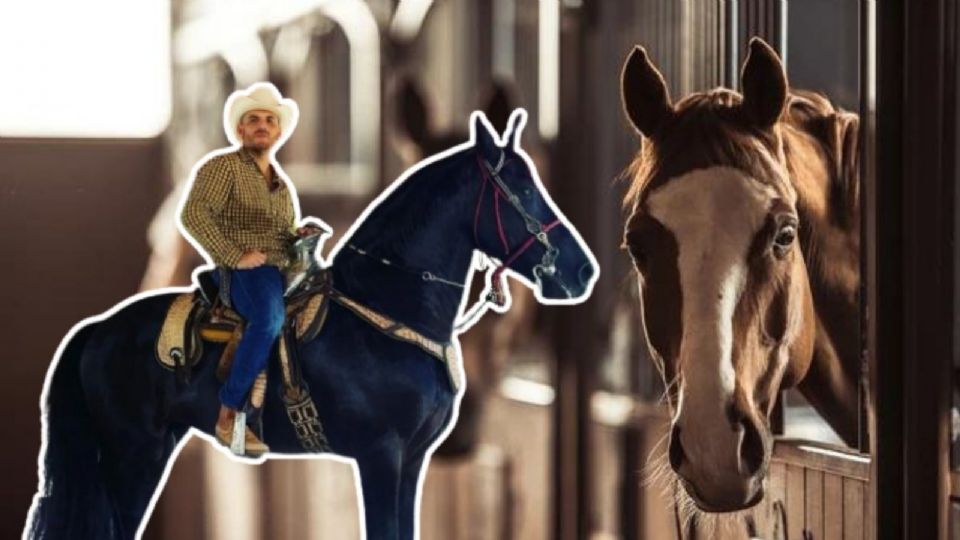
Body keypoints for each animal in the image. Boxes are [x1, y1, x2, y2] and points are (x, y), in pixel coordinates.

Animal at [24, 109, 598, 540]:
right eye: (524, 192)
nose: (581, 272)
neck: (383, 312)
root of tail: (98, 329)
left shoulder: (412, 460)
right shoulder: (381, 456)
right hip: (133, 454)